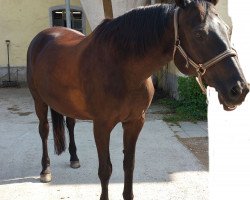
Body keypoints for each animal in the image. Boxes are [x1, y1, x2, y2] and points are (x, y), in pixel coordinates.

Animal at [26, 0, 248, 199]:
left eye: (228, 30)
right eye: (199, 34)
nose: (239, 89)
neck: (122, 67)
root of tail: (44, 35)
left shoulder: (135, 122)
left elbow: (129, 165)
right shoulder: (101, 126)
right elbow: (105, 170)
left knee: (70, 124)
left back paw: (74, 158)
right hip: (39, 101)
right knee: (44, 130)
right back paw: (45, 170)